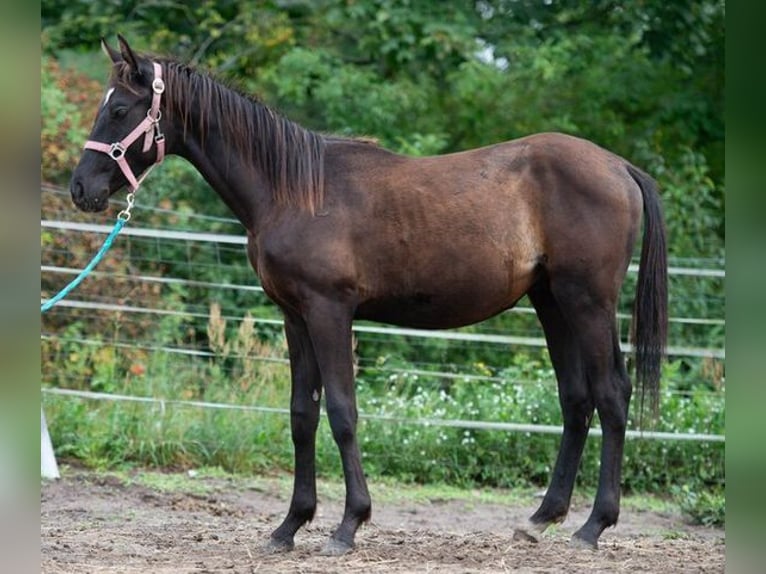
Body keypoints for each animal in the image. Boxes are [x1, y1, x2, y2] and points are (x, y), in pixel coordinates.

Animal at [69, 37, 668, 560]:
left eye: (119, 109)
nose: (81, 189)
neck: (293, 189)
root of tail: (619, 166)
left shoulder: (329, 311)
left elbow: (341, 411)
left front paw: (348, 525)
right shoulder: (295, 317)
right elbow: (301, 415)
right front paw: (289, 526)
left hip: (586, 302)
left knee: (611, 394)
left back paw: (593, 527)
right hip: (551, 303)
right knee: (576, 400)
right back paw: (540, 520)